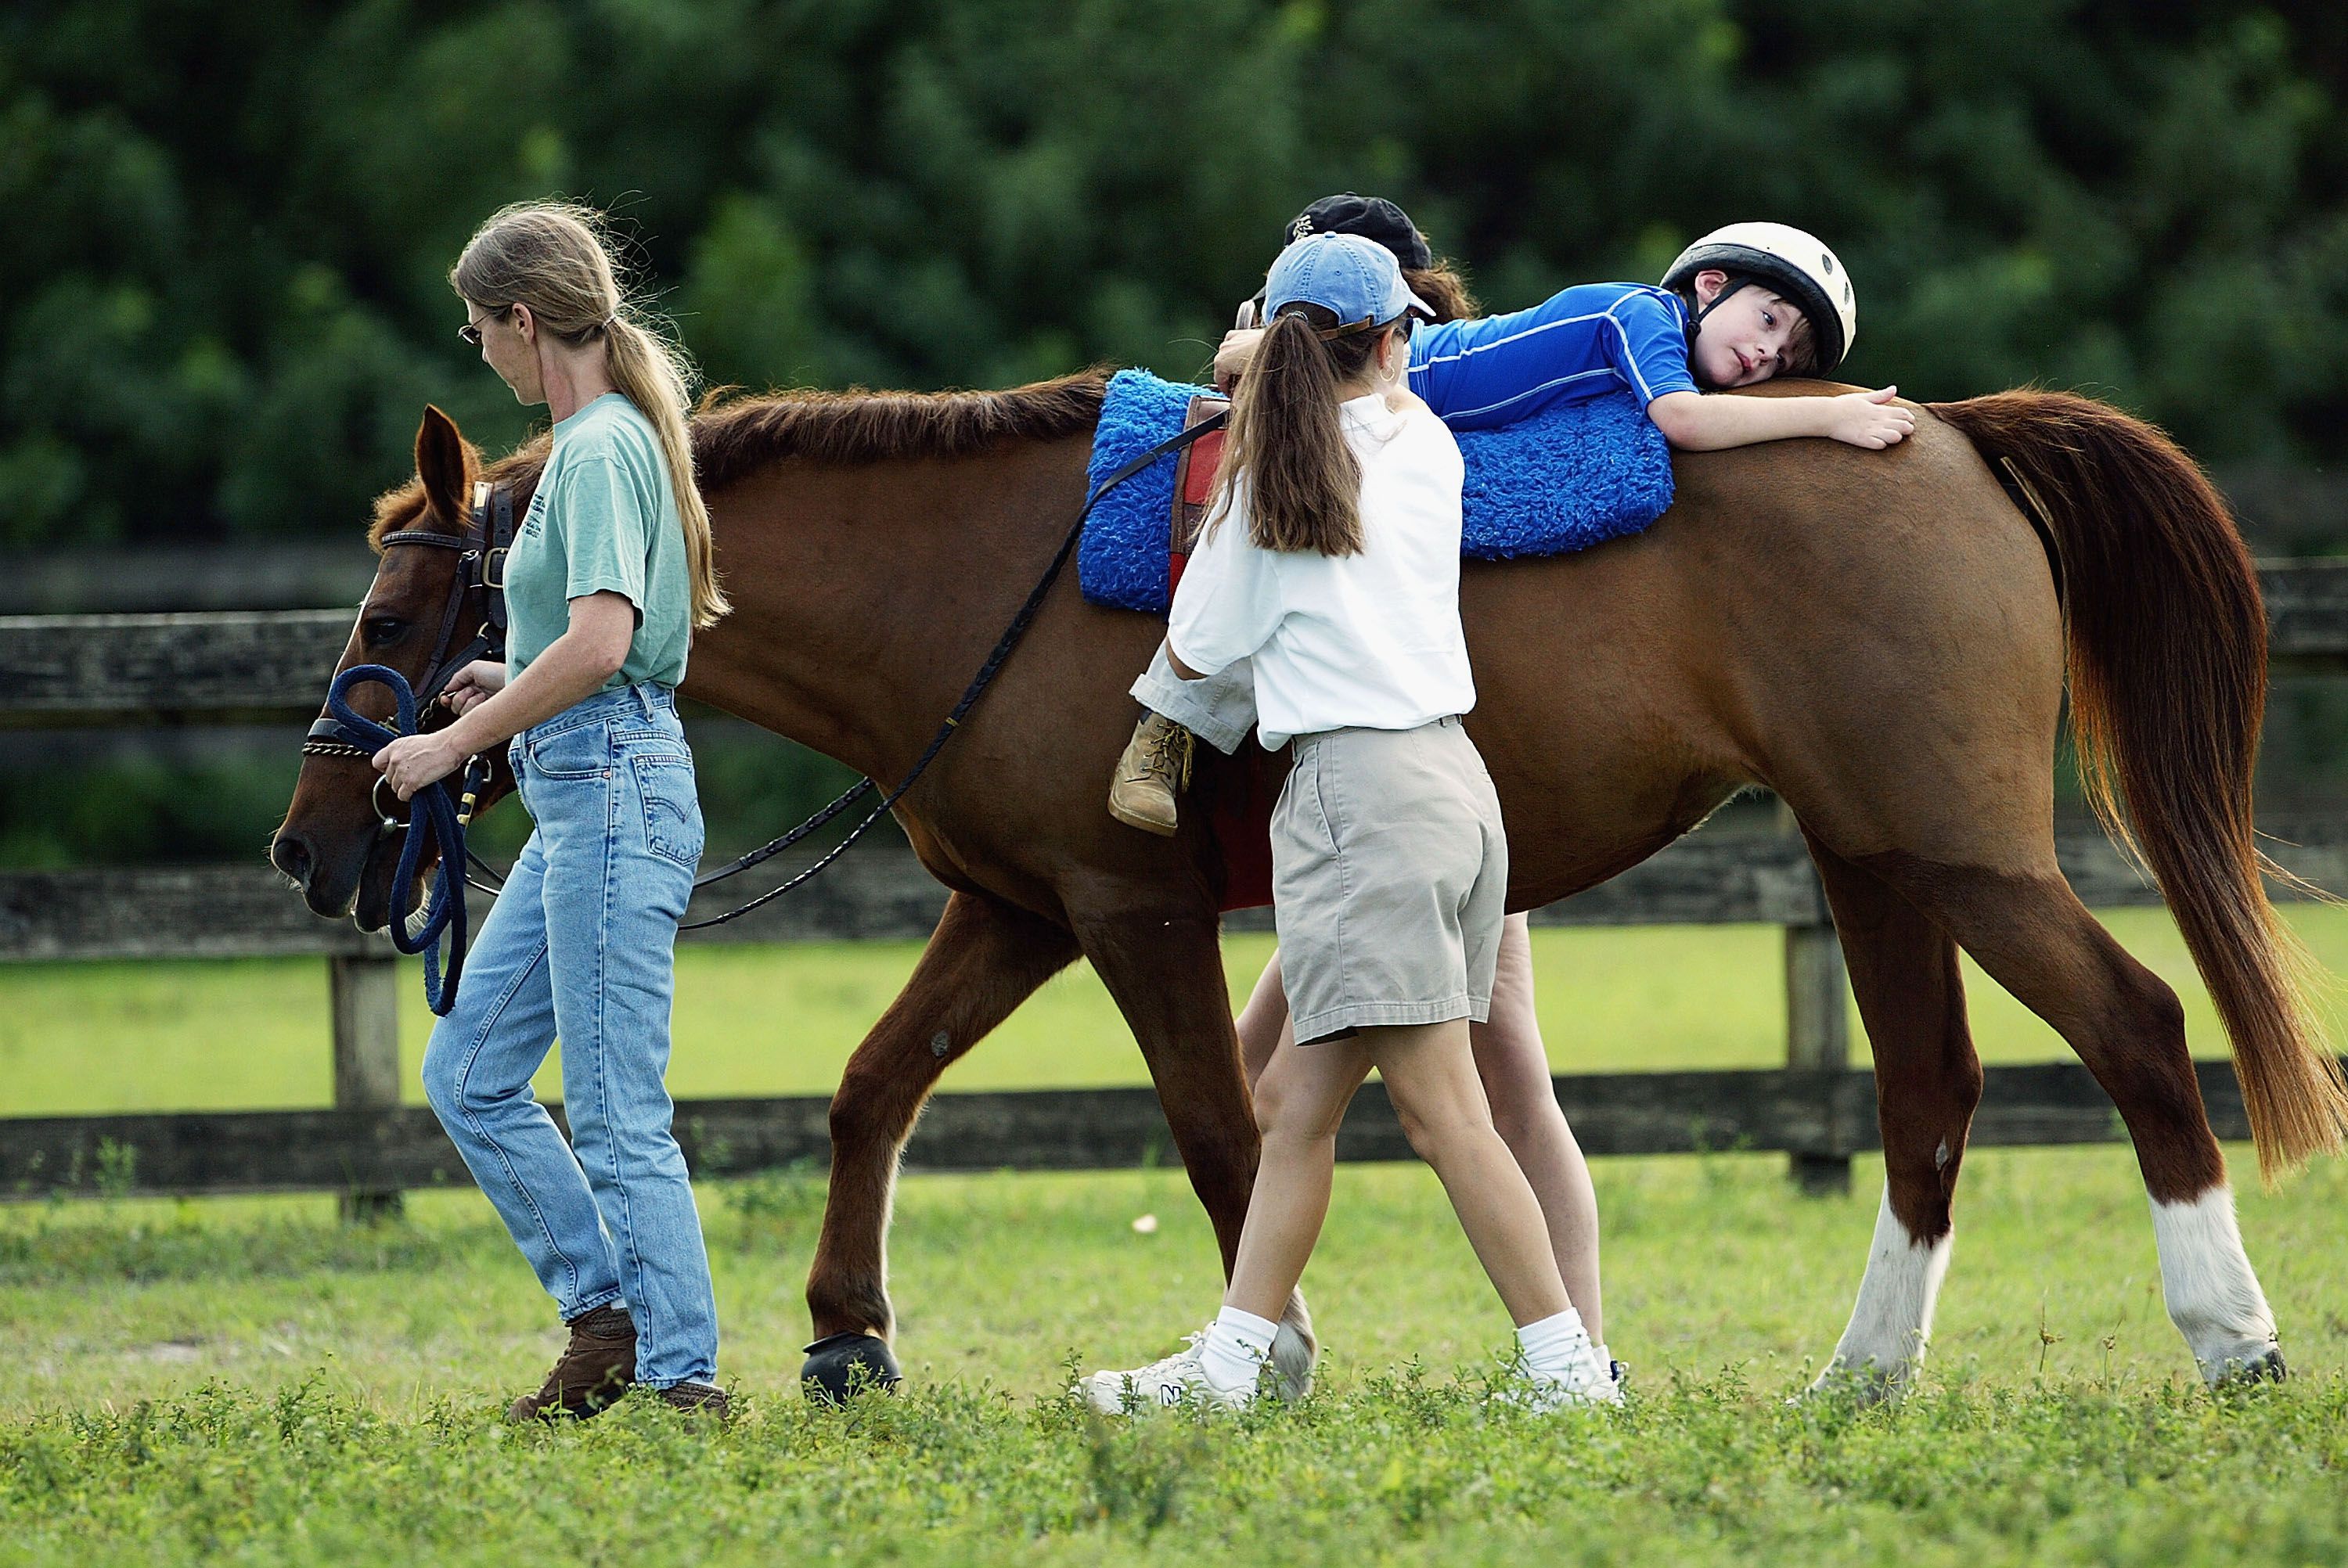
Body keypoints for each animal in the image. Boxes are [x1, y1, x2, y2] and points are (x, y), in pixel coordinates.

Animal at [279, 376, 2348, 1399]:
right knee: (1928, 1094)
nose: (317, 839)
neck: (977, 574)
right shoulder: (1017, 908)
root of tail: (1951, 438)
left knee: (2138, 1028)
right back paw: (1861, 1373)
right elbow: (873, 1089)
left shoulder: (1127, 915)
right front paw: (848, 1333)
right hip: (1873, 860)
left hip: (1961, 851)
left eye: (389, 616)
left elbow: (1219, 1131)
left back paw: (2231, 1337)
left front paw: (1265, 1351)